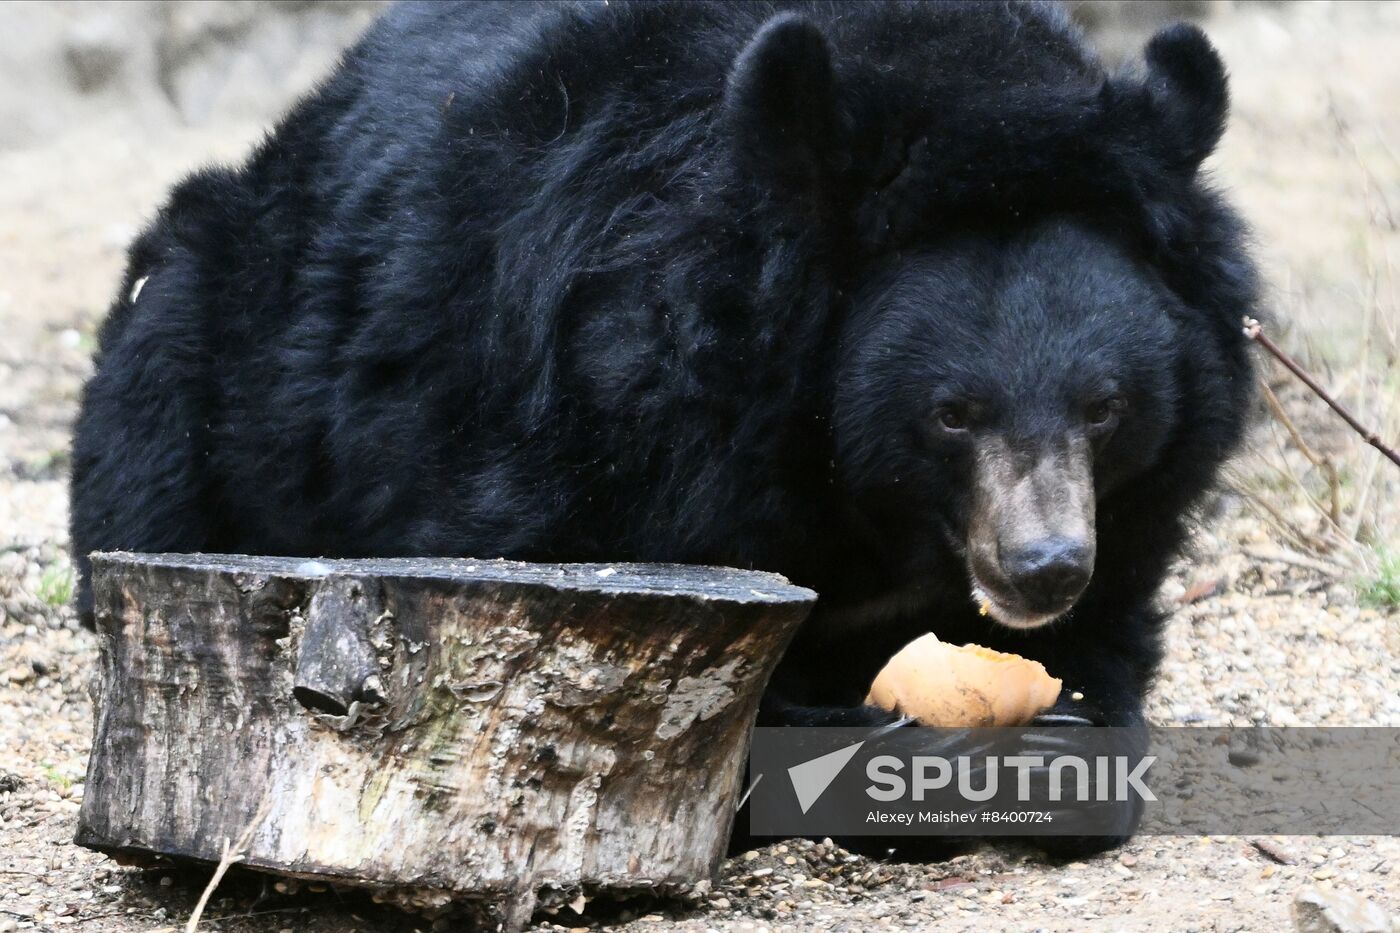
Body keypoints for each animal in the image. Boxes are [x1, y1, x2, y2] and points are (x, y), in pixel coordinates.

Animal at [68, 0, 1260, 857]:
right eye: (952, 414)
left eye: (1104, 407)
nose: (1041, 568)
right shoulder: (593, 417)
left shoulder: (1135, 508)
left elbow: (1114, 641)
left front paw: (1062, 729)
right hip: (220, 322)